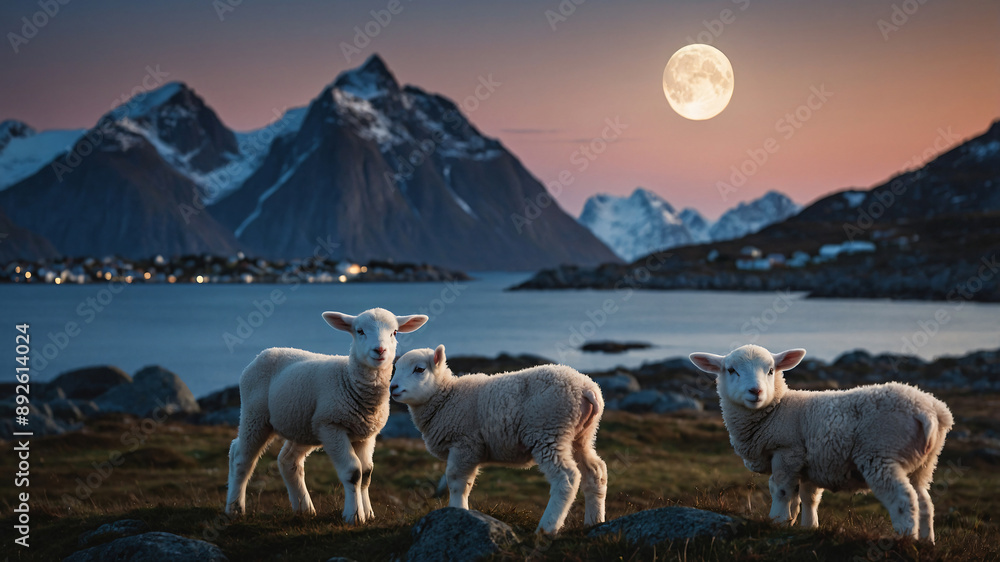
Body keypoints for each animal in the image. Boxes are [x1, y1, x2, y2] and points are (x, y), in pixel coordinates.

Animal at [225, 308, 428, 525]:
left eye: (395, 332)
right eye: (360, 331)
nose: (380, 350)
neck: (348, 379)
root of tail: (264, 353)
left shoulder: (366, 434)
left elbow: (366, 473)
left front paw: (368, 513)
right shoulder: (332, 426)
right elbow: (353, 472)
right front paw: (354, 515)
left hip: (304, 426)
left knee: (288, 461)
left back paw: (304, 508)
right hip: (255, 415)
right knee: (240, 456)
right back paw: (235, 508)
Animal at [390, 345, 608, 535]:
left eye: (419, 369)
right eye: (395, 368)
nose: (393, 387)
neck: (446, 397)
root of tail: (587, 389)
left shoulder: (465, 445)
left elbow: (457, 482)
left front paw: (458, 511)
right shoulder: (471, 449)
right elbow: (465, 482)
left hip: (547, 431)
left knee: (566, 478)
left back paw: (547, 528)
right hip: (582, 435)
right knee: (595, 471)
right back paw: (594, 521)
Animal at [689, 344, 953, 542]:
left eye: (771, 370)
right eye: (731, 370)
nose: (756, 391)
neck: (778, 408)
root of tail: (930, 412)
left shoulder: (787, 451)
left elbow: (780, 489)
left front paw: (777, 521)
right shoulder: (810, 463)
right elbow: (808, 497)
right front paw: (807, 526)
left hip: (881, 454)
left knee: (903, 499)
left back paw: (905, 540)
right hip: (925, 463)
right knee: (924, 501)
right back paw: (926, 542)